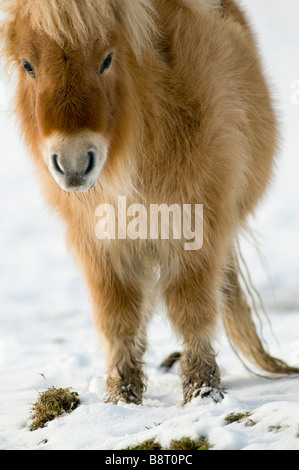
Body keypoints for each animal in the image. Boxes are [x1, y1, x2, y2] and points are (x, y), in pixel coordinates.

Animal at [1, 0, 298, 404]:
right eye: (28, 65)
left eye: (107, 59)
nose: (75, 163)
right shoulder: (101, 245)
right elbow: (117, 317)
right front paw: (122, 398)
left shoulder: (194, 229)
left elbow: (191, 308)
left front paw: (202, 391)